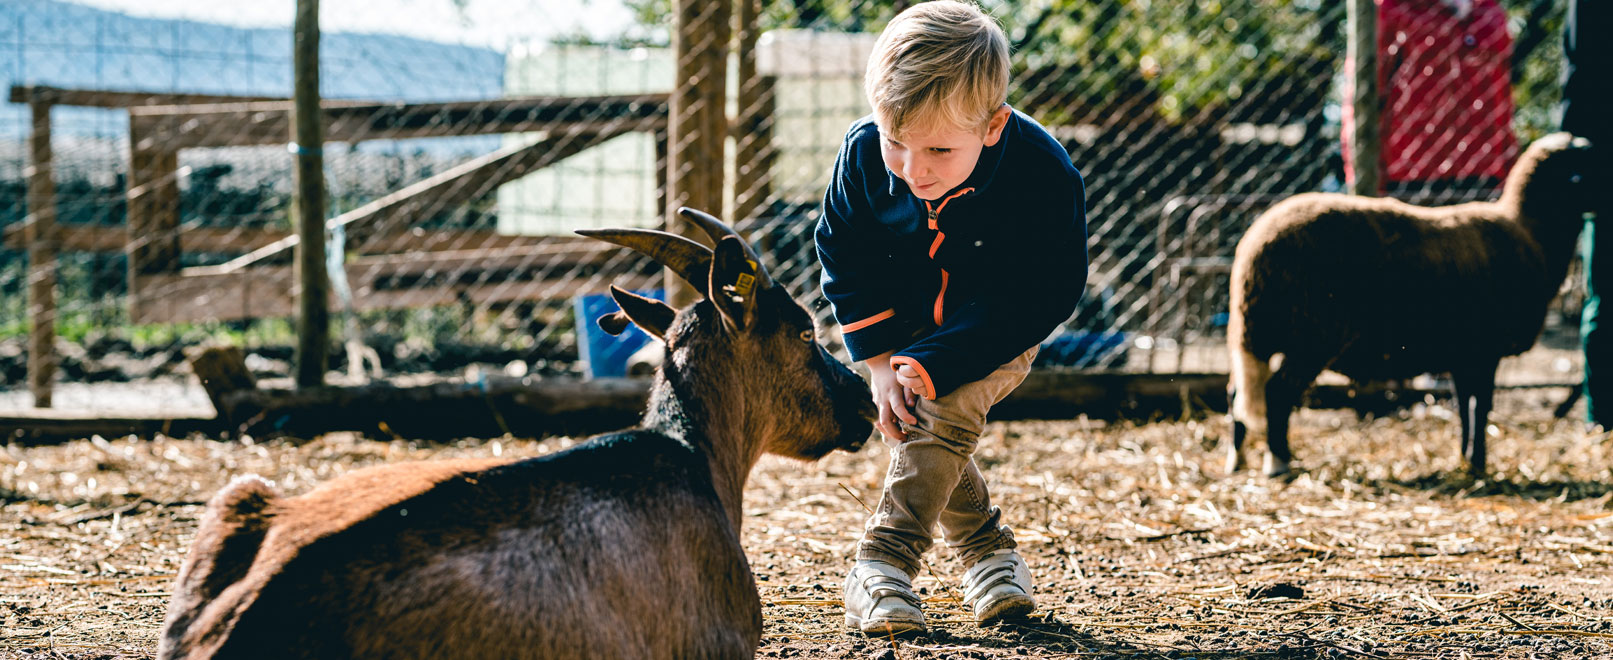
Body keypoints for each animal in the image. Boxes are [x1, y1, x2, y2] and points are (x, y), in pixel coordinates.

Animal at [1225, 133, 1593, 474]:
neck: (1532, 234)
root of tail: (1254, 252)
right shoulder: (1485, 350)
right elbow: (1482, 406)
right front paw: (1478, 462)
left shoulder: (1464, 354)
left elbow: (1465, 406)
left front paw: (1465, 459)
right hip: (1312, 333)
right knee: (1277, 392)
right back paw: (1278, 462)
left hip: (1260, 332)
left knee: (1236, 394)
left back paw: (1237, 460)